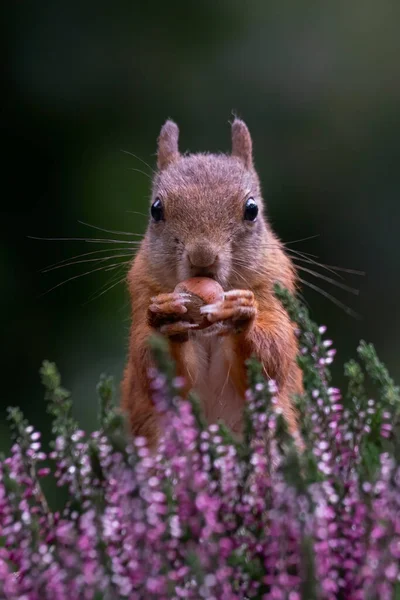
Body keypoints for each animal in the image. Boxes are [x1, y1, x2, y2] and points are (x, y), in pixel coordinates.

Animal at [120, 118, 302, 446]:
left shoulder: (273, 285)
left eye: (252, 209)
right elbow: (153, 368)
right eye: (156, 209)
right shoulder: (142, 289)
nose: (202, 256)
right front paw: (167, 317)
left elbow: (273, 358)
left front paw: (241, 316)